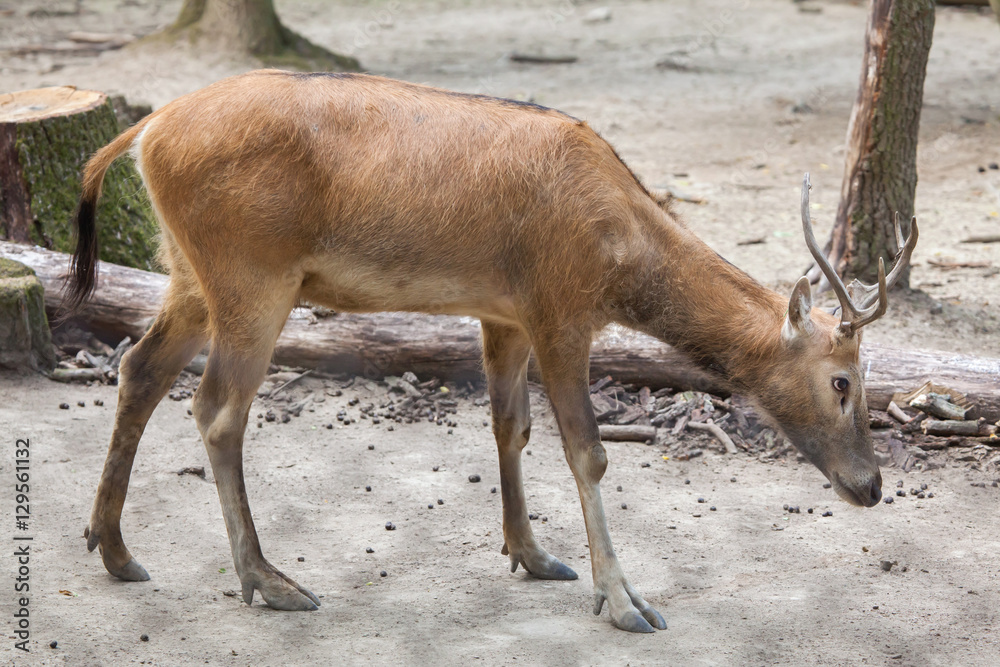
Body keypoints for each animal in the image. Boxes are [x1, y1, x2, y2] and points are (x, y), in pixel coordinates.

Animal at [69, 70, 916, 634]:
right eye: (842, 380)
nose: (873, 486)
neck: (621, 255)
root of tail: (141, 133)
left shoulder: (502, 313)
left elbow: (512, 427)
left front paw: (533, 555)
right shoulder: (560, 308)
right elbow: (588, 452)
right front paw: (626, 600)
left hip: (189, 271)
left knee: (138, 369)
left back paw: (115, 549)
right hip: (253, 274)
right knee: (217, 410)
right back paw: (268, 579)